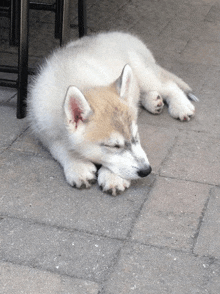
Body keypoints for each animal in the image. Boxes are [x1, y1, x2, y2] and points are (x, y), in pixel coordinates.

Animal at [27, 31, 198, 195]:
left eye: (136, 137)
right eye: (113, 146)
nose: (146, 170)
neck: (79, 82)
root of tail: (124, 35)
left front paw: (113, 177)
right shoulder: (43, 131)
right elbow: (60, 147)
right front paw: (77, 165)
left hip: (143, 72)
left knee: (168, 85)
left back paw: (181, 105)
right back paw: (153, 100)